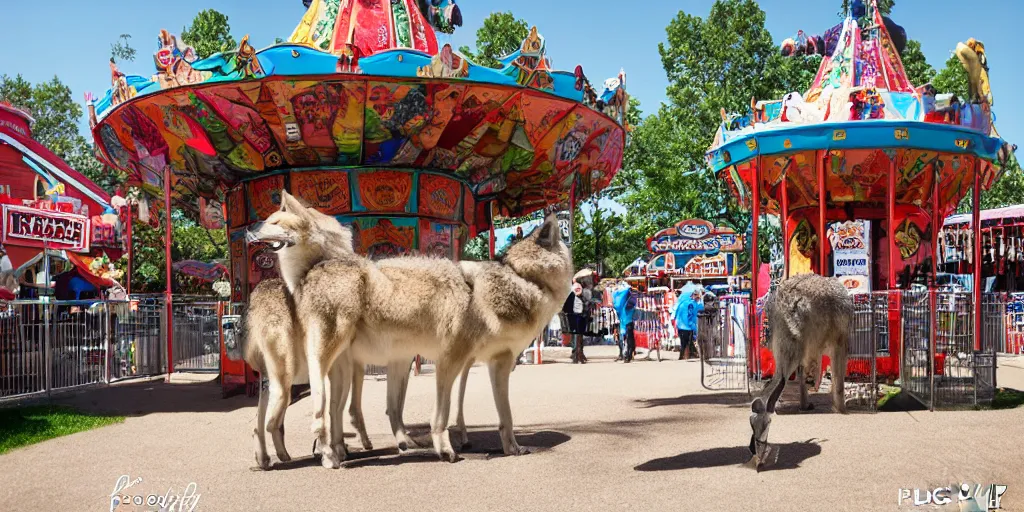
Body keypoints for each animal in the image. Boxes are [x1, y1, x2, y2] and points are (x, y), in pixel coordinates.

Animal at [749, 272, 851, 468]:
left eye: (755, 423)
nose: (754, 451)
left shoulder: (812, 349)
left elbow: (806, 376)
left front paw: (807, 404)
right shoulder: (838, 340)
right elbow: (838, 381)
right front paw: (841, 409)